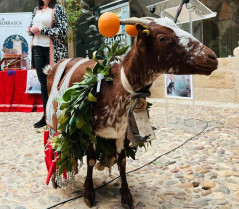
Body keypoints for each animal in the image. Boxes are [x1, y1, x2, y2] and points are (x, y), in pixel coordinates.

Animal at [45, 17, 218, 208]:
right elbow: (90, 159)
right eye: (162, 38)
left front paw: (126, 196)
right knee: (53, 145)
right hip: (55, 121)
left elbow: (122, 161)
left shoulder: (121, 131)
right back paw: (55, 180)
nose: (212, 57)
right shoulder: (89, 129)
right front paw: (88, 194)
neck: (113, 87)